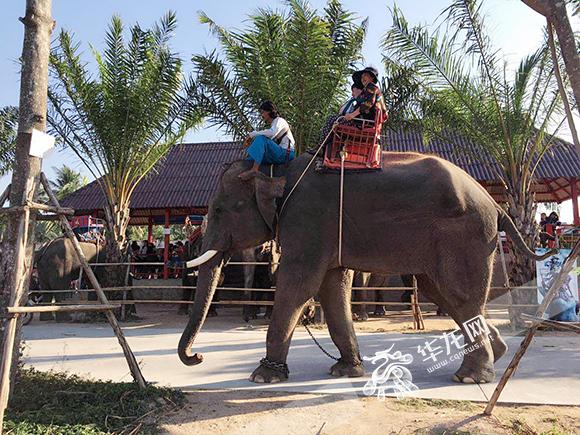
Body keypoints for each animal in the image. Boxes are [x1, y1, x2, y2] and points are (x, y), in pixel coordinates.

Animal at [178, 152, 552, 384]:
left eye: (221, 209)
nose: (198, 356)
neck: (277, 169)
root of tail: (496, 205)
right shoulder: (327, 232)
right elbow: (332, 288)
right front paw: (345, 371)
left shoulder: (308, 220)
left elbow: (298, 285)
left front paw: (263, 377)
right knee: (445, 295)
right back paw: (497, 354)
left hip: (465, 236)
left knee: (458, 296)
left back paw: (470, 377)